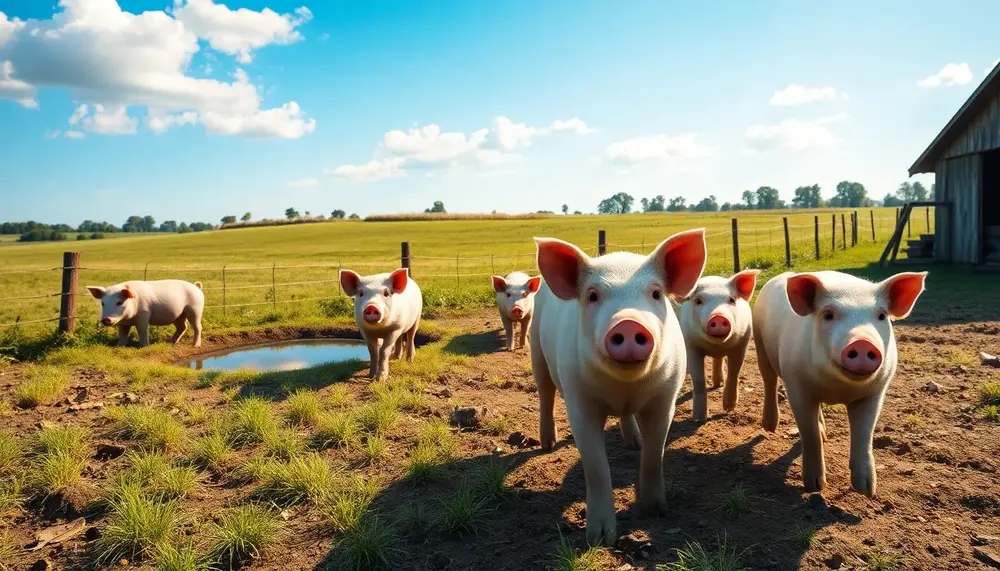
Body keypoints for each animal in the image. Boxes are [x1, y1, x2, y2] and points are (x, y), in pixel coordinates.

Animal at [532, 228, 704, 544]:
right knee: (545, 394)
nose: (627, 323)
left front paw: (656, 511)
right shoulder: (579, 403)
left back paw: (633, 442)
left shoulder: (665, 399)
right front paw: (600, 539)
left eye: (656, 293)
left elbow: (654, 454)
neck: (625, 387)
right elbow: (597, 468)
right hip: (537, 351)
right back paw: (547, 444)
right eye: (592, 295)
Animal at [676, 270, 760, 422]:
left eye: (732, 300)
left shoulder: (741, 344)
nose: (719, 317)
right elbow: (698, 380)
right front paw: (699, 419)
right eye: (698, 301)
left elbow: (734, 374)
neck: (716, 345)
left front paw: (728, 409)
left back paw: (718, 384)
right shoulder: (690, 345)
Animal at [756, 270, 928, 498]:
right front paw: (815, 487)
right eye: (828, 314)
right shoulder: (797, 386)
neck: (838, 388)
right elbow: (809, 434)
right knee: (769, 380)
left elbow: (864, 435)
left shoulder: (875, 392)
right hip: (760, 345)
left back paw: (824, 435)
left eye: (882, 315)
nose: (862, 343)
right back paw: (770, 426)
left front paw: (867, 491)